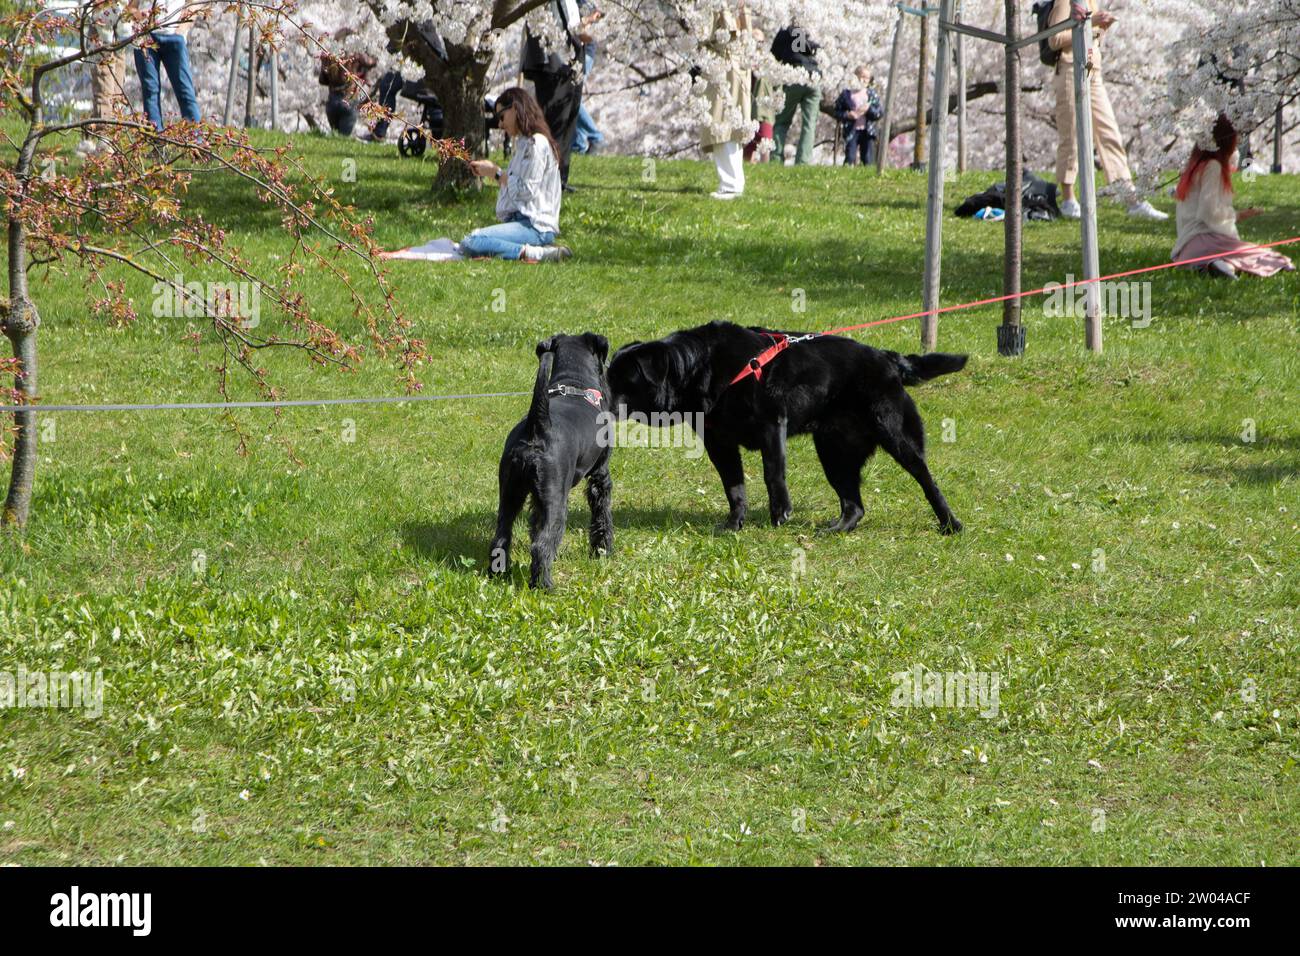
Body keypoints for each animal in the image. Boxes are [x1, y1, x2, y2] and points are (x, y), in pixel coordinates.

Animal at [488, 335, 611, 590]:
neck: (574, 384)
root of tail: (536, 429)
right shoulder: (600, 474)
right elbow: (602, 514)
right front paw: (602, 551)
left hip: (510, 493)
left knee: (501, 537)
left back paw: (498, 574)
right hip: (556, 501)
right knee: (542, 545)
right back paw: (544, 585)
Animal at [608, 319, 967, 530]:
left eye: (620, 379)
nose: (600, 394)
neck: (700, 367)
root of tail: (888, 358)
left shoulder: (772, 426)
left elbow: (772, 474)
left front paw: (780, 512)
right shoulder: (720, 444)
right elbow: (733, 486)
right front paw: (734, 523)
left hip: (897, 436)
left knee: (926, 480)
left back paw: (950, 524)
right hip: (833, 453)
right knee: (854, 504)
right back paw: (837, 528)